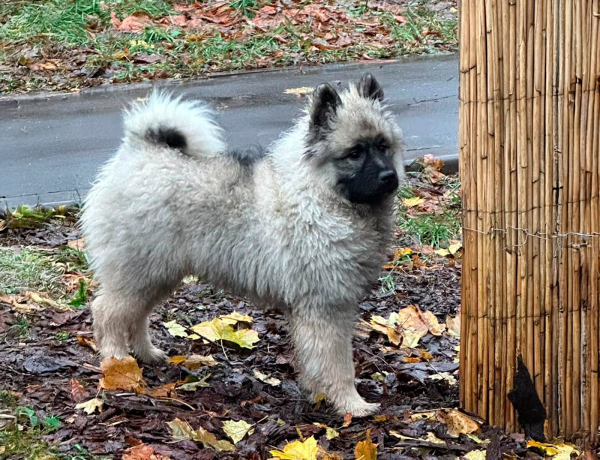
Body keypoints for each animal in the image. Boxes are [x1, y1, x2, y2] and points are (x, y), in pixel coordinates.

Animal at [81, 74, 405, 417]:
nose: (388, 176)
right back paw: (117, 363)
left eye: (383, 146)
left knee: (136, 316)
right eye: (355, 153)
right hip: (138, 271)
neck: (320, 194)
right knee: (107, 313)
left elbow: (316, 359)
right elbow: (338, 363)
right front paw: (352, 404)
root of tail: (139, 152)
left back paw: (146, 353)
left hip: (157, 274)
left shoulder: (322, 309)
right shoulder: (326, 308)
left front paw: (318, 393)